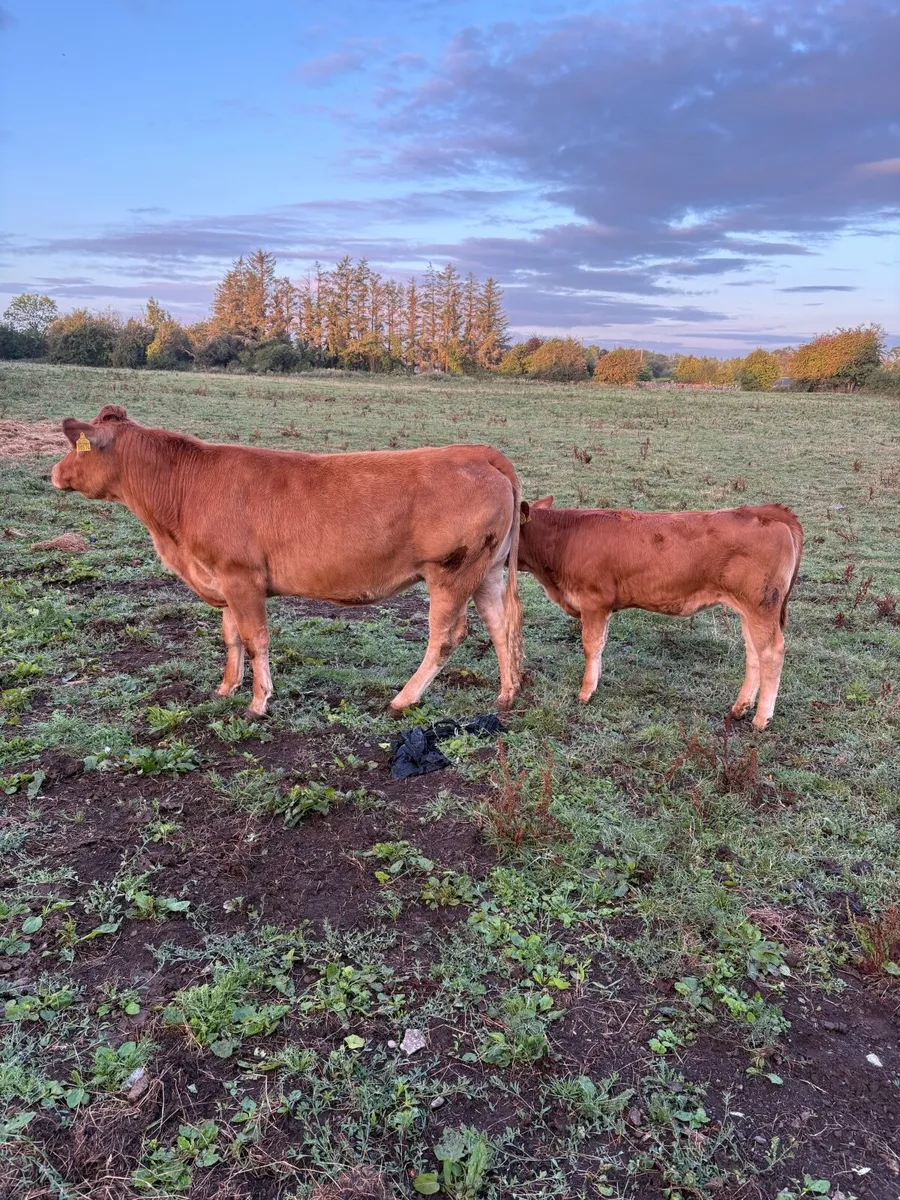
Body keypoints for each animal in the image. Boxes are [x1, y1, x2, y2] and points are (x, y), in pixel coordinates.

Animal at [51, 406, 523, 717]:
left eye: (77, 448)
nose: (54, 473)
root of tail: (477, 452)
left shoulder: (241, 577)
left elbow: (255, 638)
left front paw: (259, 702)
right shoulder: (222, 578)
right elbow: (232, 638)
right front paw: (226, 688)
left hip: (451, 572)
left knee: (446, 636)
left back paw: (403, 699)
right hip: (487, 572)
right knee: (500, 626)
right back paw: (506, 694)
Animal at [517, 498, 803, 729]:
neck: (564, 539)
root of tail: (762, 510)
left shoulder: (593, 602)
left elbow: (591, 646)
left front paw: (585, 692)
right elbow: (601, 644)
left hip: (761, 606)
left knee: (771, 653)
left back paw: (761, 719)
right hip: (748, 609)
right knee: (754, 652)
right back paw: (740, 708)